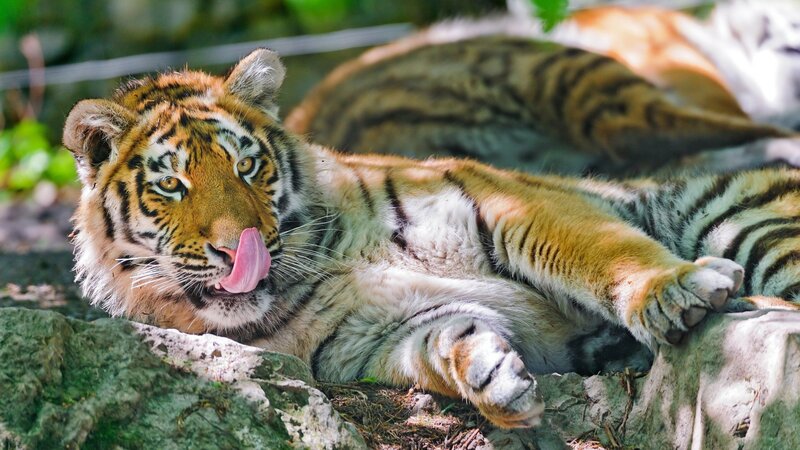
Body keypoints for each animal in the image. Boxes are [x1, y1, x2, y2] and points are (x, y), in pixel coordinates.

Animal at [63, 49, 800, 429]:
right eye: (173, 185)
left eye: (247, 167)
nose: (236, 248)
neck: (319, 263)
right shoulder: (375, 337)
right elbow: (444, 340)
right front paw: (492, 378)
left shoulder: (511, 205)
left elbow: (602, 251)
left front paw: (672, 288)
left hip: (733, 212)